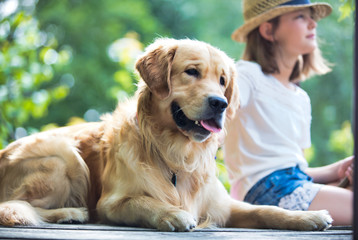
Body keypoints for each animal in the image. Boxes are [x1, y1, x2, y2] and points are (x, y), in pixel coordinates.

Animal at [0, 38, 332, 232]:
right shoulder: (112, 203)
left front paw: (309, 217)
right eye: (192, 72)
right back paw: (71, 212)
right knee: (17, 206)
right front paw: (174, 214)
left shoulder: (222, 206)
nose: (220, 103)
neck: (177, 154)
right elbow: (143, 203)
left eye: (223, 81)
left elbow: (267, 210)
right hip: (65, 157)